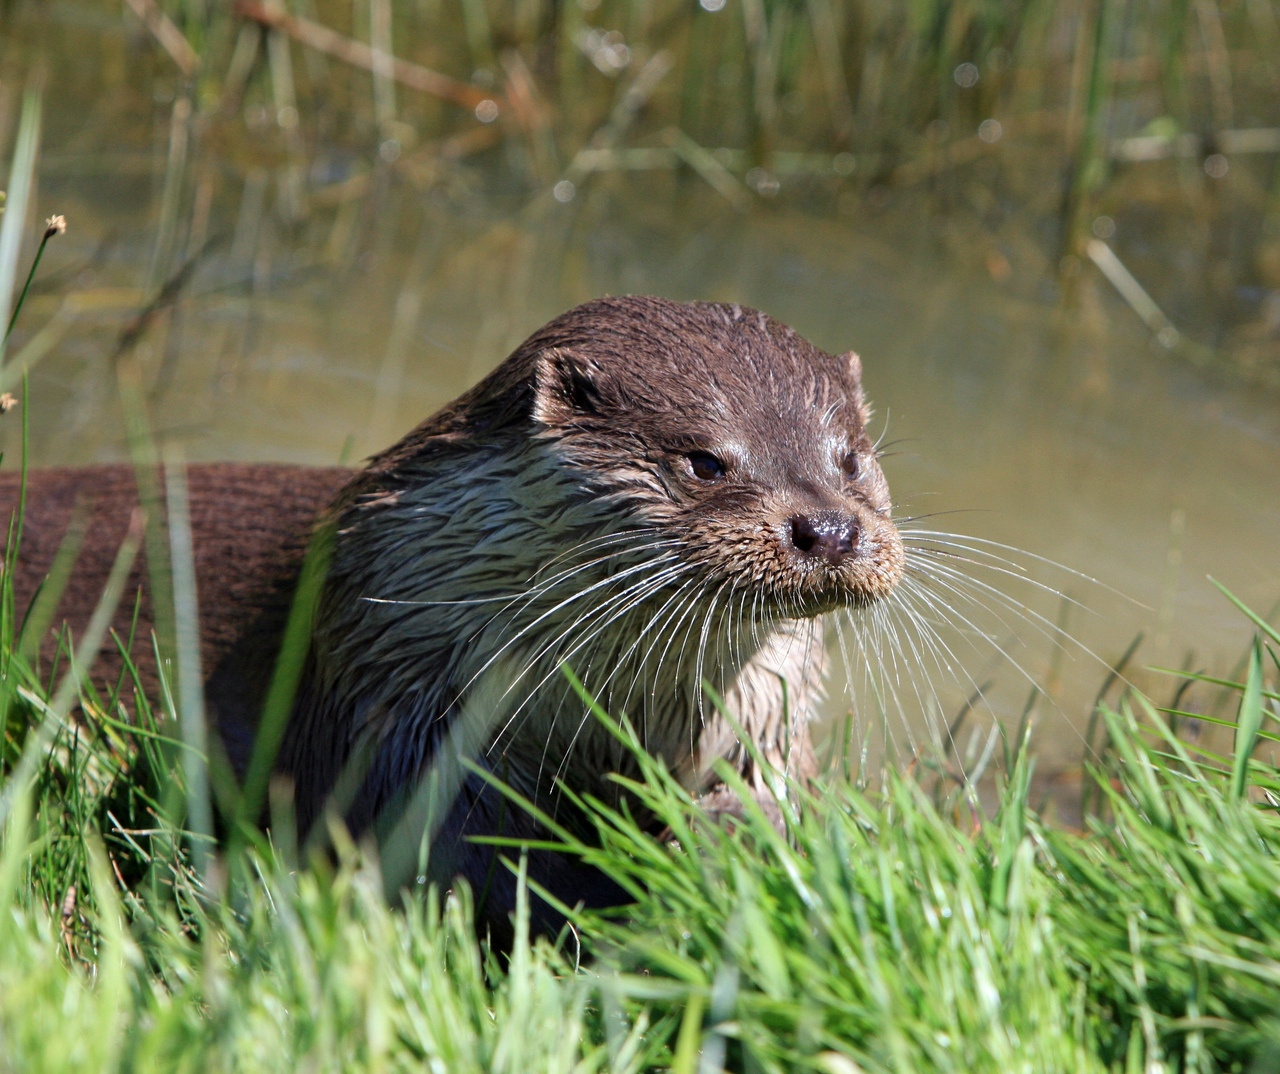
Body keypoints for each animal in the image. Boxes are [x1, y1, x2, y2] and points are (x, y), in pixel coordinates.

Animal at [5, 298, 901, 937]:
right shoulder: (395, 703)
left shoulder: (764, 710)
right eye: (706, 461)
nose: (830, 529)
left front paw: (733, 847)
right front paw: (610, 896)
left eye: (850, 459)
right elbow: (457, 852)